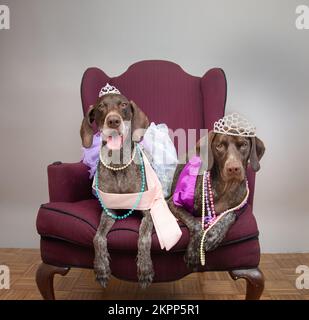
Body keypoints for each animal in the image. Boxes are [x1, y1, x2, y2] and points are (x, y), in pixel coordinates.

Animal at [80, 92, 153, 288]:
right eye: (101, 107)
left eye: (123, 105)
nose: (113, 121)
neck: (118, 164)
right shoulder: (109, 211)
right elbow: (97, 238)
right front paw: (101, 268)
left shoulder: (148, 211)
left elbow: (144, 237)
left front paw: (145, 269)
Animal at [167, 131, 264, 268]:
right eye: (219, 146)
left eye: (244, 145)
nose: (233, 168)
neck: (226, 187)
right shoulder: (173, 203)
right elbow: (195, 223)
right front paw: (193, 252)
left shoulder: (242, 206)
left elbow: (230, 214)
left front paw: (214, 235)